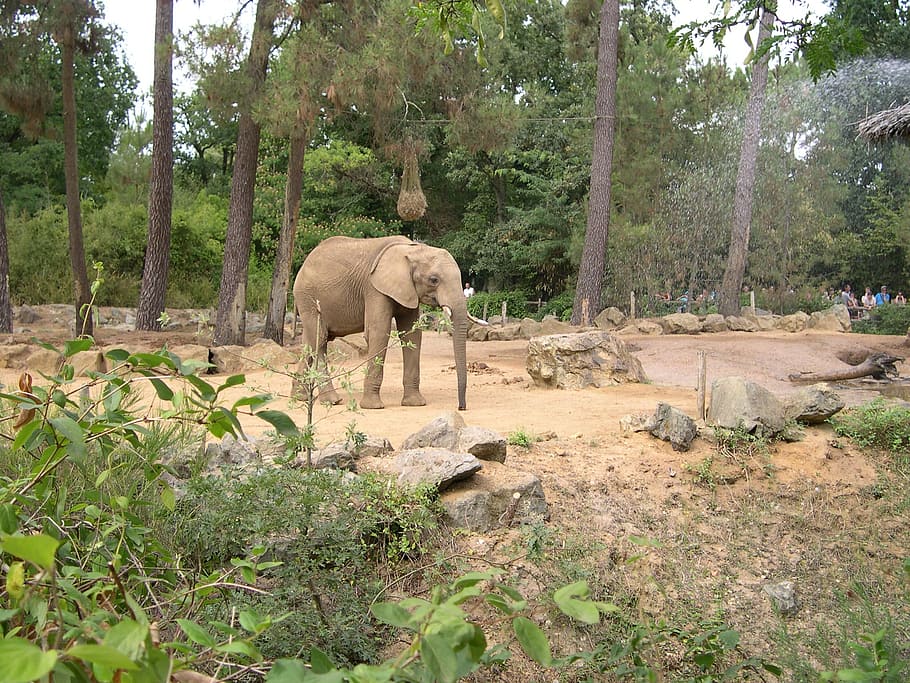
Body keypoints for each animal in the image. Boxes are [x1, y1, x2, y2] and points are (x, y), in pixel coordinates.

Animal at [292, 235, 475, 410]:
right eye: (434, 280)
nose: (461, 407)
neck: (413, 249)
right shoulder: (374, 289)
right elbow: (379, 332)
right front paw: (373, 406)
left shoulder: (408, 290)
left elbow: (412, 335)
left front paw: (415, 403)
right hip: (308, 298)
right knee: (320, 339)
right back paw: (331, 400)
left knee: (310, 342)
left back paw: (300, 398)